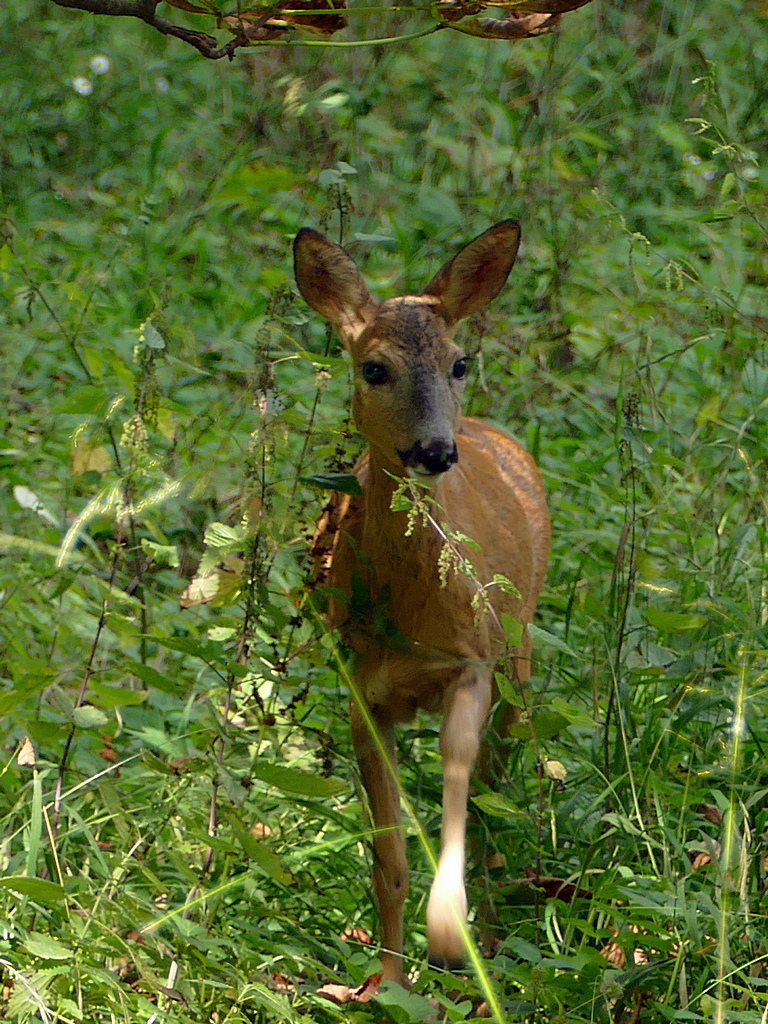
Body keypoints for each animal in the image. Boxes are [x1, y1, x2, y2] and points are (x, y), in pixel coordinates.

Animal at [290, 222, 548, 983]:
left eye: (459, 363)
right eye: (374, 369)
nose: (435, 451)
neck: (412, 613)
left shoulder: (474, 662)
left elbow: (462, 780)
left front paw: (448, 933)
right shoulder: (363, 689)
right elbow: (389, 857)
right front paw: (386, 980)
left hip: (519, 660)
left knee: (495, 796)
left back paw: (488, 935)